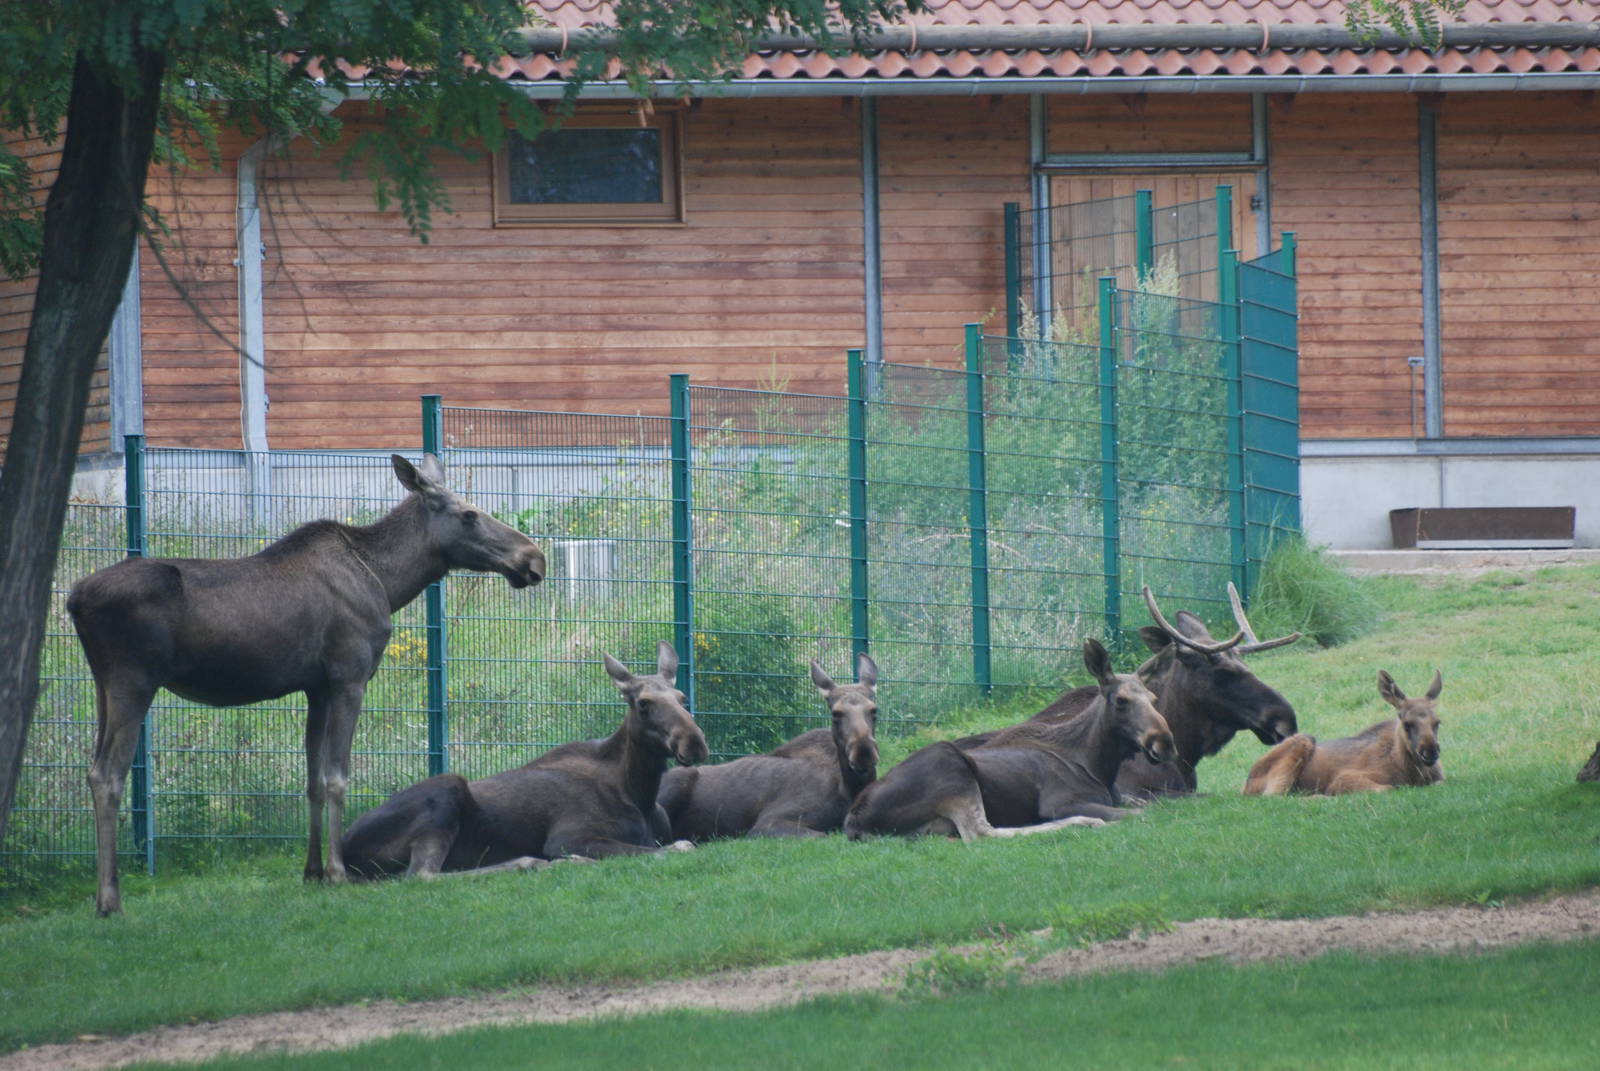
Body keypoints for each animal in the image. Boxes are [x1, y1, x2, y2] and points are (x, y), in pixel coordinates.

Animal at [67, 453, 547, 914]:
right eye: (469, 514)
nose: (534, 558)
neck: (388, 581)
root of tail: (74, 599)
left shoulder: (316, 687)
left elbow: (313, 779)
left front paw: (312, 871)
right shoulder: (349, 676)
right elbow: (337, 776)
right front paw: (337, 872)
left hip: (103, 685)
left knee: (93, 770)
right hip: (134, 681)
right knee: (108, 775)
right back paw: (109, 899)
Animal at [341, 640, 707, 877]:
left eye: (682, 697)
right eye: (643, 703)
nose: (694, 741)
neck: (639, 792)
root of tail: (342, 849)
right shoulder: (567, 837)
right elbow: (679, 847)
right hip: (445, 794)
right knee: (422, 875)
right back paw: (532, 863)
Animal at [656, 653, 879, 840]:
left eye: (874, 710)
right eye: (835, 713)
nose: (864, 752)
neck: (849, 789)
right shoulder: (767, 824)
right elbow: (822, 835)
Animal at [843, 639, 1175, 840]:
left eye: (1153, 698)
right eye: (1121, 701)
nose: (1164, 742)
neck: (1098, 766)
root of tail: (854, 820)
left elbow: (1153, 804)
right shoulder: (1061, 802)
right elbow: (1142, 812)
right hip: (950, 765)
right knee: (981, 832)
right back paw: (1084, 822)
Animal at [1243, 670, 1444, 796]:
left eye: (1437, 722)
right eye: (1407, 723)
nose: (1430, 752)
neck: (1411, 771)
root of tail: (1245, 786)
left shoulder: (1440, 778)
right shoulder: (1343, 779)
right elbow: (1389, 788)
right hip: (1302, 741)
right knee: (1276, 797)